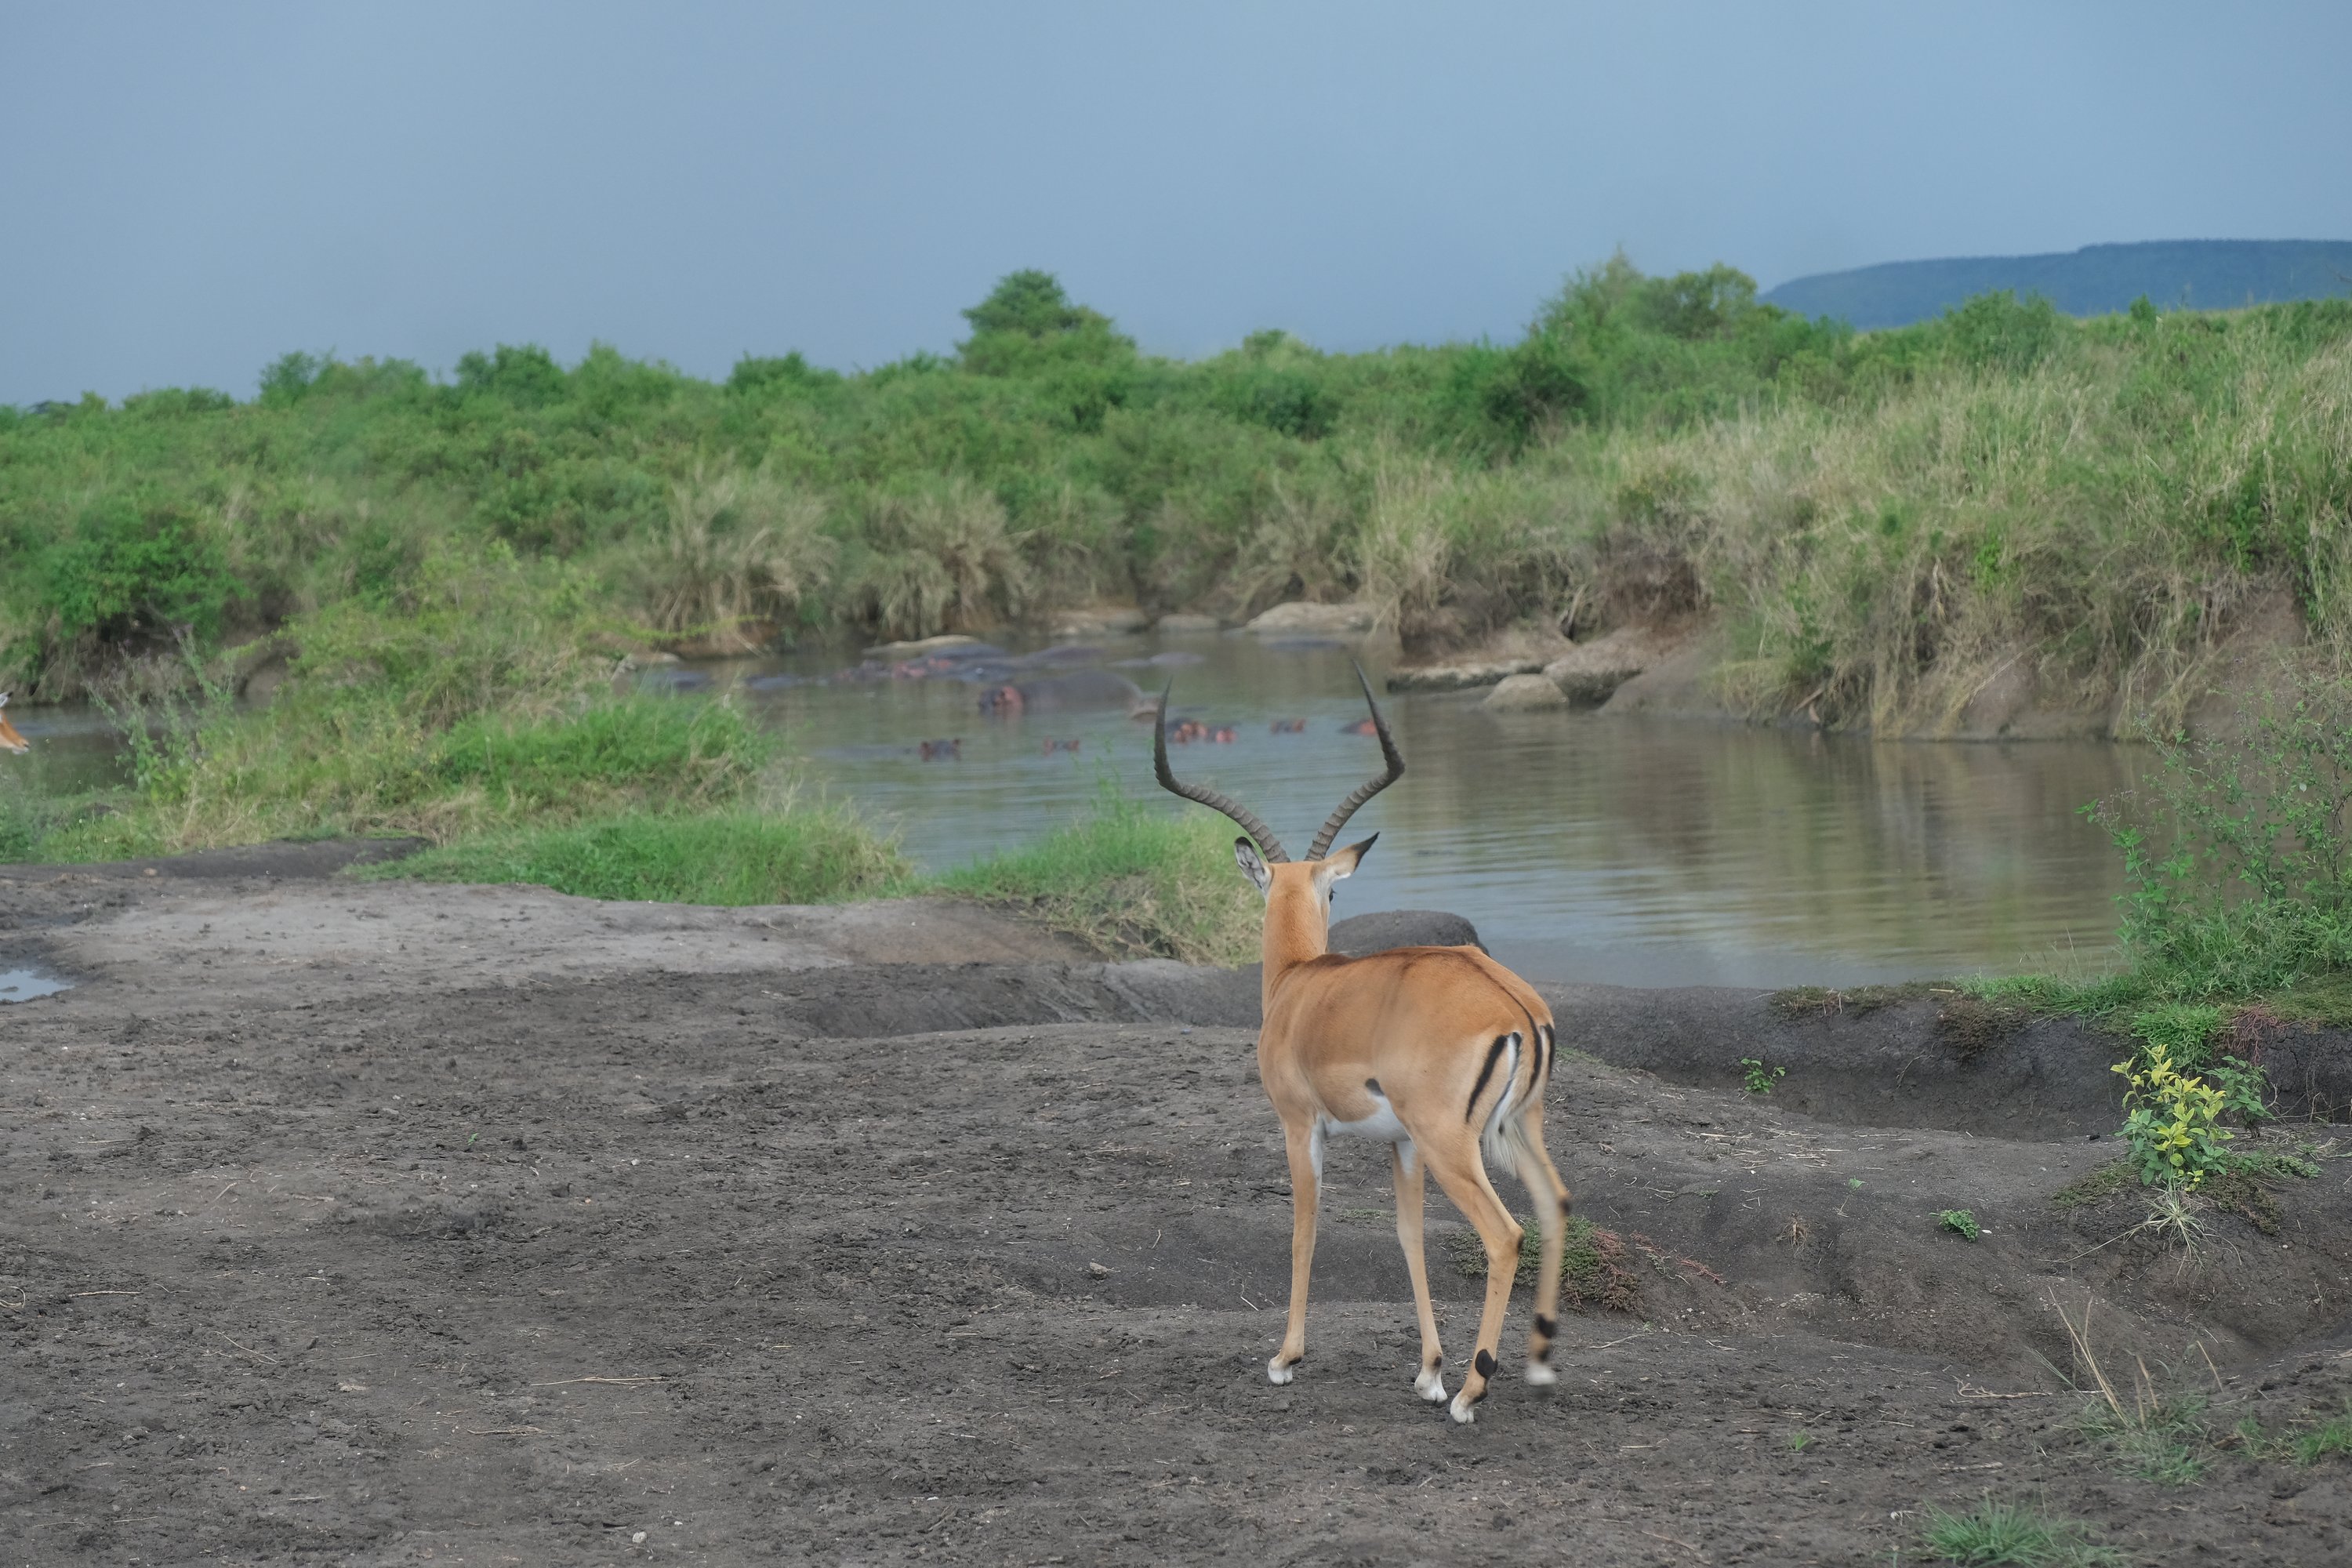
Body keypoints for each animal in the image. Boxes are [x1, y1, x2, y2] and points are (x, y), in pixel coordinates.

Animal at [1153, 667, 1570, 1424]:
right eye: (1330, 894)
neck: (1298, 982)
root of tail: (1514, 1006)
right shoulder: (1400, 1144)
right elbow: (1408, 1236)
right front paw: (1427, 1370)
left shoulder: (1299, 1126)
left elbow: (1304, 1227)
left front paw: (1285, 1358)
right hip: (1516, 1128)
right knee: (1555, 1206)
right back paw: (1536, 1366)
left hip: (1454, 1144)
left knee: (1504, 1234)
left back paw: (1473, 1392)